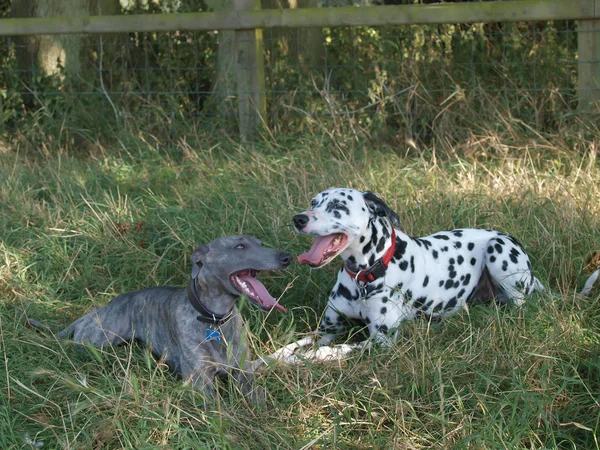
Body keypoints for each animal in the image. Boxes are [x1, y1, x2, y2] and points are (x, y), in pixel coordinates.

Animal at [29, 237, 292, 402]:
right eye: (240, 245)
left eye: (259, 243)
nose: (287, 257)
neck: (215, 321)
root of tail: (97, 310)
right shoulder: (201, 383)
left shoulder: (244, 374)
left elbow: (258, 400)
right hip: (98, 341)